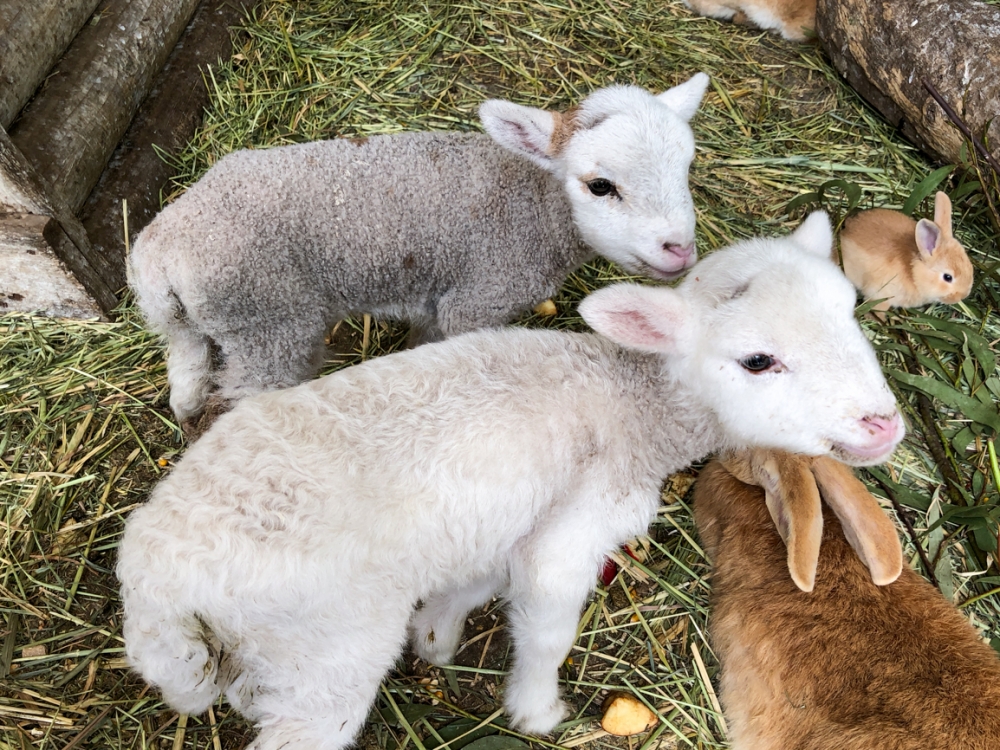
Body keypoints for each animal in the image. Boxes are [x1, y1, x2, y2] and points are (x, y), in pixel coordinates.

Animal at [119, 212, 908, 750]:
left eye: (849, 312)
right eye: (756, 361)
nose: (884, 425)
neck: (638, 403)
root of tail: (155, 574)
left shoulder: (510, 518)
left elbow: (477, 580)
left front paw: (436, 636)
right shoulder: (570, 533)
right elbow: (547, 628)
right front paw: (535, 710)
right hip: (328, 654)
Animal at [129, 75, 712, 432]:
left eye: (686, 167)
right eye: (600, 186)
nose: (679, 251)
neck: (533, 204)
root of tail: (161, 253)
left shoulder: (439, 301)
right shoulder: (478, 299)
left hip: (193, 326)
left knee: (186, 383)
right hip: (267, 324)